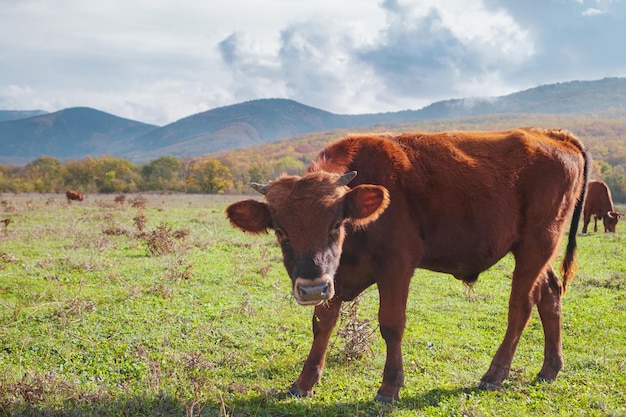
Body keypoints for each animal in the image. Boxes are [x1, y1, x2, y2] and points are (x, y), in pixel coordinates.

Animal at [227, 128, 588, 402]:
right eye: (281, 231)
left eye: (336, 224)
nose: (312, 287)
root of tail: (552, 135)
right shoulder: (336, 276)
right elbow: (322, 322)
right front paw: (304, 382)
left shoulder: (396, 266)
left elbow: (391, 324)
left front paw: (389, 388)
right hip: (535, 251)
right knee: (550, 294)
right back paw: (549, 369)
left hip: (536, 246)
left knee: (521, 306)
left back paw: (494, 374)